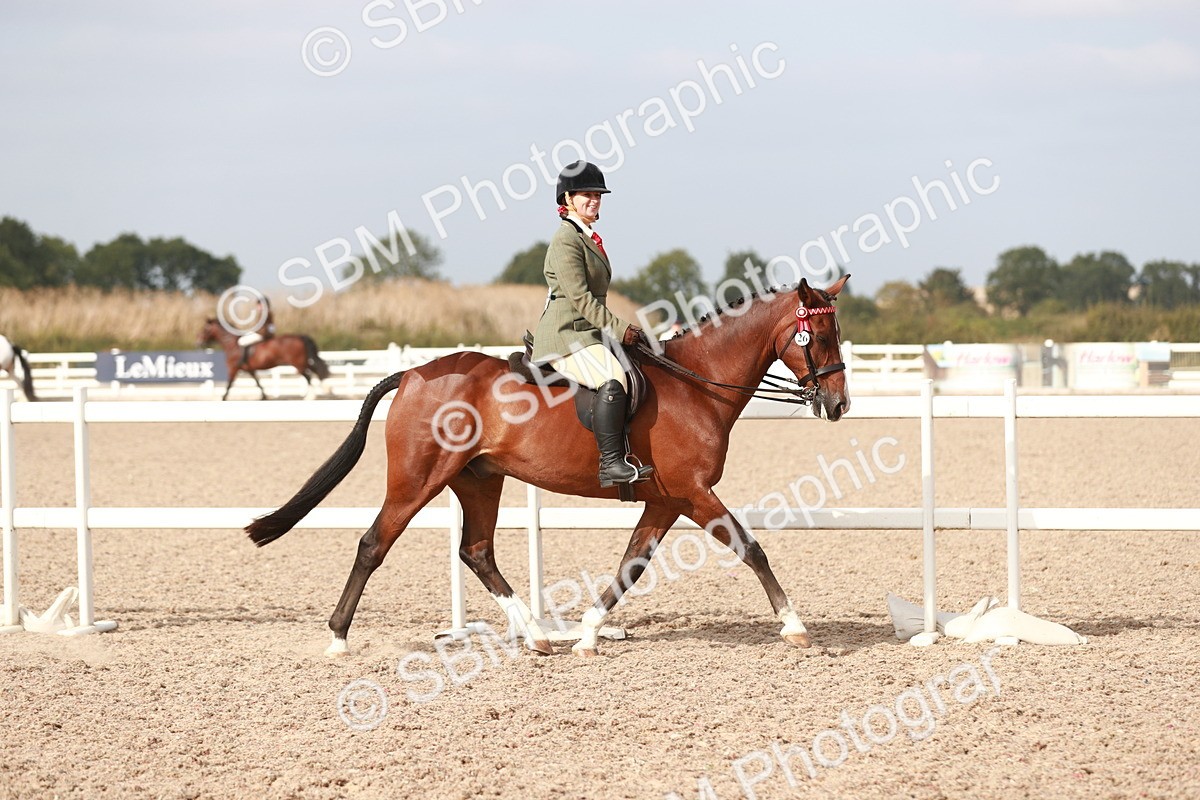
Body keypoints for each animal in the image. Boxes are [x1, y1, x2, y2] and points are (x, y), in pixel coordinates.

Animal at [197, 319, 331, 401]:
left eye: (205, 329)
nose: (199, 343)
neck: (233, 345)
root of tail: (300, 337)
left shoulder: (233, 368)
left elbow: (229, 385)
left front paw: (223, 398)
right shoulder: (250, 369)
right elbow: (258, 383)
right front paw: (264, 397)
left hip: (297, 364)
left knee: (309, 376)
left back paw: (310, 396)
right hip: (302, 362)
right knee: (316, 370)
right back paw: (326, 389)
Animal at [247, 276, 851, 657]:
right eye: (820, 337)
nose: (839, 404)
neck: (697, 386)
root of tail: (413, 373)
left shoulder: (666, 500)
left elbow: (631, 565)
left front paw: (586, 634)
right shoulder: (695, 493)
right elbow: (751, 548)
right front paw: (795, 626)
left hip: (479, 481)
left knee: (477, 551)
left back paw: (536, 635)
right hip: (418, 481)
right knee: (374, 544)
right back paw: (337, 639)